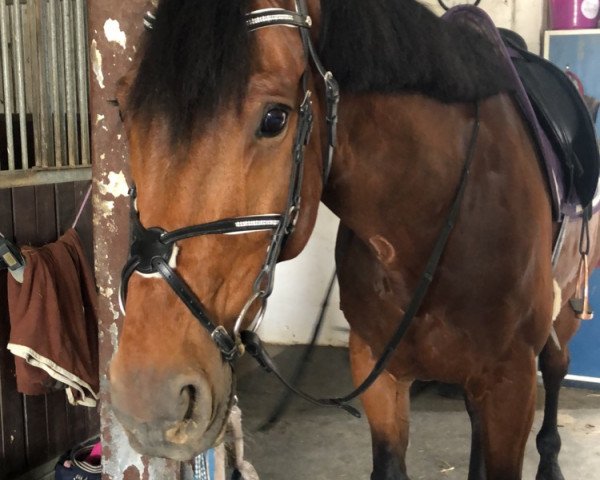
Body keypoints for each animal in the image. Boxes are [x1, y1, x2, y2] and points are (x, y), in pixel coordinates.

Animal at [109, 1, 600, 478]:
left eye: (274, 118)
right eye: (122, 109)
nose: (146, 399)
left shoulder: (511, 385)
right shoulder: (378, 372)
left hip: (564, 311)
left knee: (557, 367)